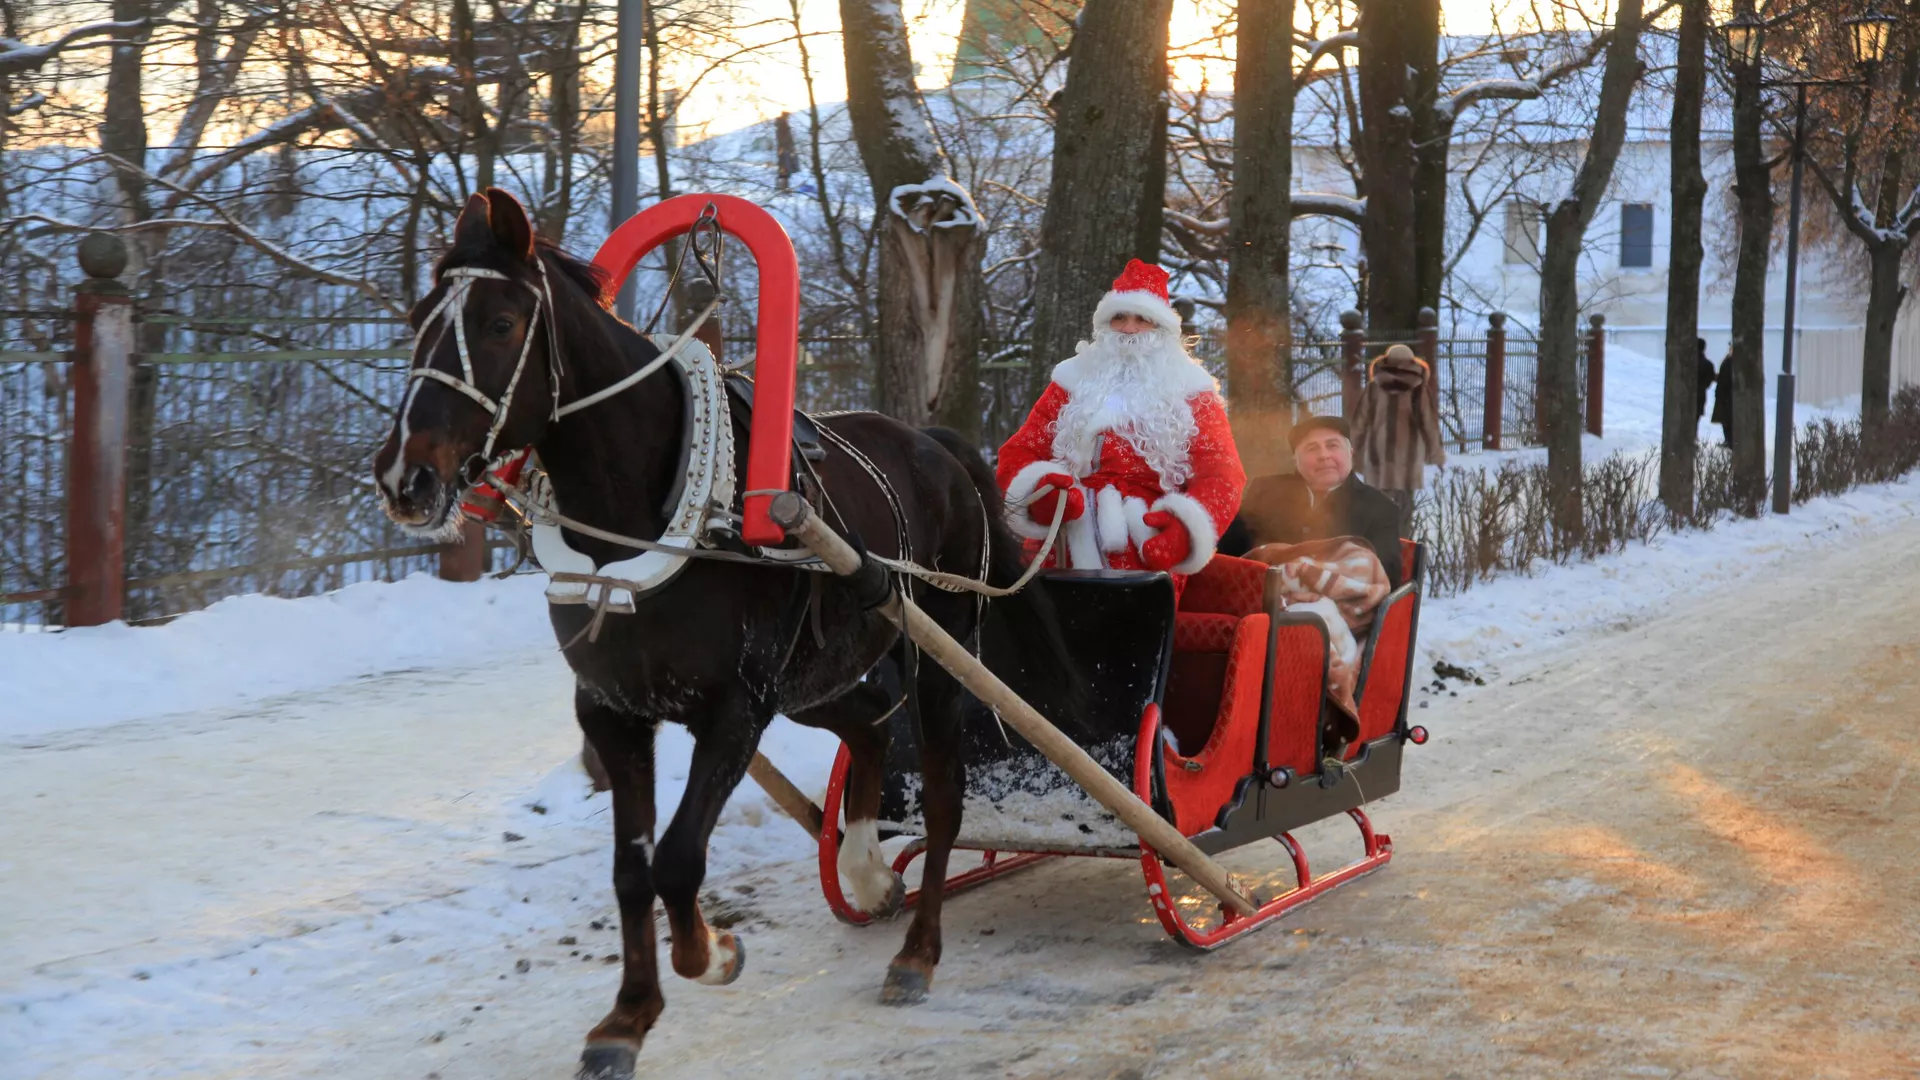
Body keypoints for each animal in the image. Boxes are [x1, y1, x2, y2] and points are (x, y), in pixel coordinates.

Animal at [366, 191, 1075, 1076]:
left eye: (499, 323)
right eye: (418, 316)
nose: (405, 478)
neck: (646, 521)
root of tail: (938, 447)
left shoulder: (733, 711)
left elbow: (676, 859)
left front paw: (712, 953)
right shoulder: (614, 712)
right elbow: (631, 870)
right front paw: (627, 1018)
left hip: (939, 660)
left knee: (945, 798)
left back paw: (917, 952)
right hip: (816, 677)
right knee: (871, 729)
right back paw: (869, 873)